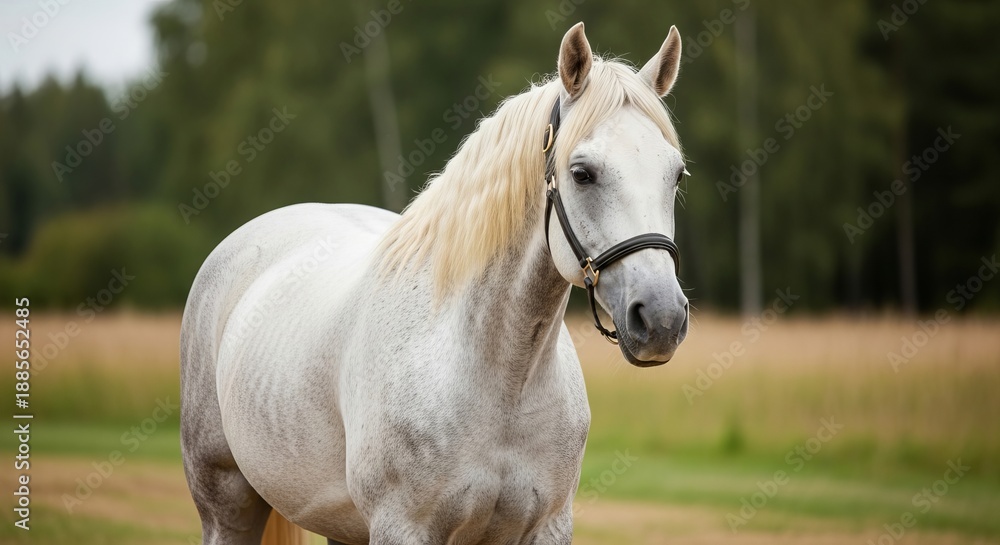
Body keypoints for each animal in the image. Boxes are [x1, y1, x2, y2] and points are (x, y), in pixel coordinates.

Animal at [180, 22, 689, 545]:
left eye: (675, 174)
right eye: (582, 173)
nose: (662, 319)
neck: (499, 383)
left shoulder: (547, 528)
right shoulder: (402, 527)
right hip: (225, 502)